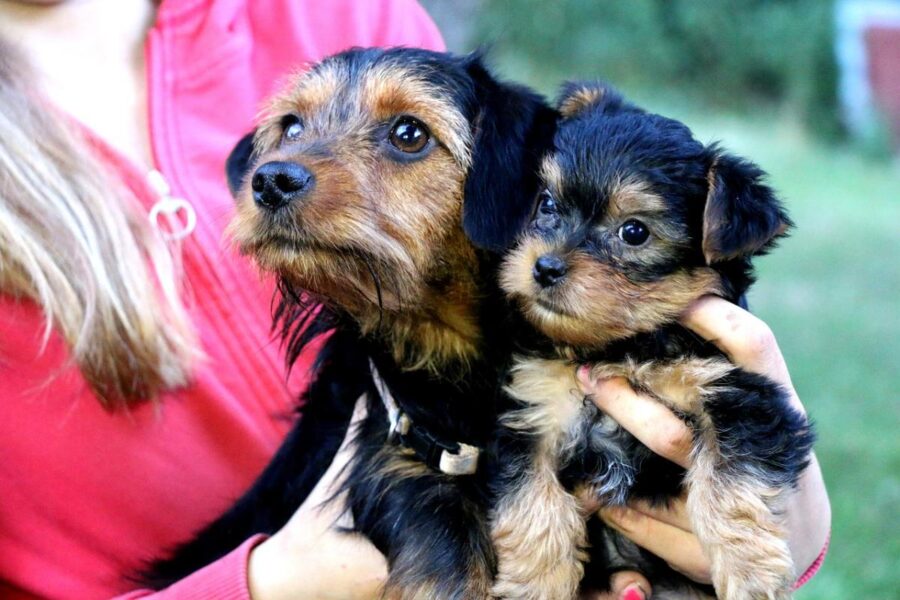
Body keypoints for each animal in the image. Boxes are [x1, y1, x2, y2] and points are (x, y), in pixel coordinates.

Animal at [492, 84, 816, 600]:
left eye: (635, 231)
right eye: (547, 203)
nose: (544, 267)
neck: (623, 347)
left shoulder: (736, 393)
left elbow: (730, 480)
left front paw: (749, 572)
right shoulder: (533, 408)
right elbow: (531, 500)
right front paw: (535, 583)